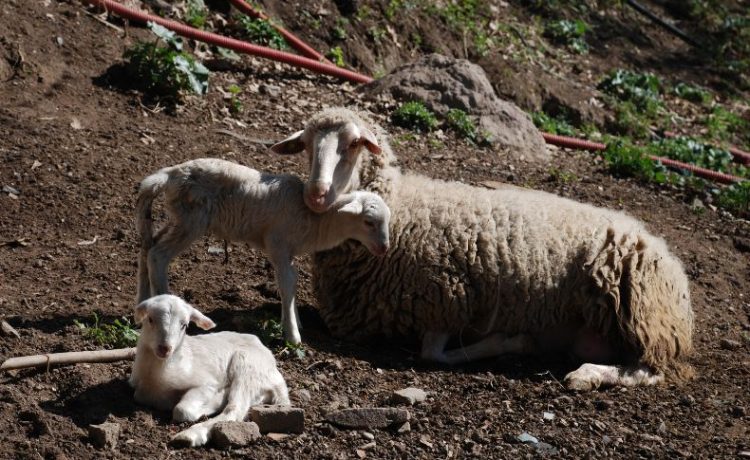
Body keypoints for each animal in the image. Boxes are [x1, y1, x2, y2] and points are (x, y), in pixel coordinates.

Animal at [129, 292, 288, 448]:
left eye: (184, 325)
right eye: (150, 319)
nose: (165, 348)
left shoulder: (206, 383)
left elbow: (182, 411)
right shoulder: (139, 388)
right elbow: (138, 396)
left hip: (247, 366)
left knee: (234, 409)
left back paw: (190, 434)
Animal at [137, 156, 394, 344]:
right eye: (369, 222)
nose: (384, 248)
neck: (315, 220)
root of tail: (170, 174)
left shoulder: (288, 253)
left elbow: (291, 283)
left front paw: (293, 320)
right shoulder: (278, 245)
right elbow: (287, 284)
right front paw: (293, 335)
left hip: (179, 217)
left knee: (148, 245)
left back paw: (143, 302)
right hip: (192, 219)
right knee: (158, 255)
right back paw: (165, 303)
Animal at [272, 108, 700, 392]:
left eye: (353, 145)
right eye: (307, 146)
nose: (315, 194)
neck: (403, 204)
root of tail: (667, 254)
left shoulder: (448, 297)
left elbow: (434, 353)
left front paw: (512, 342)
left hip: (644, 316)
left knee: (650, 369)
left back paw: (586, 375)